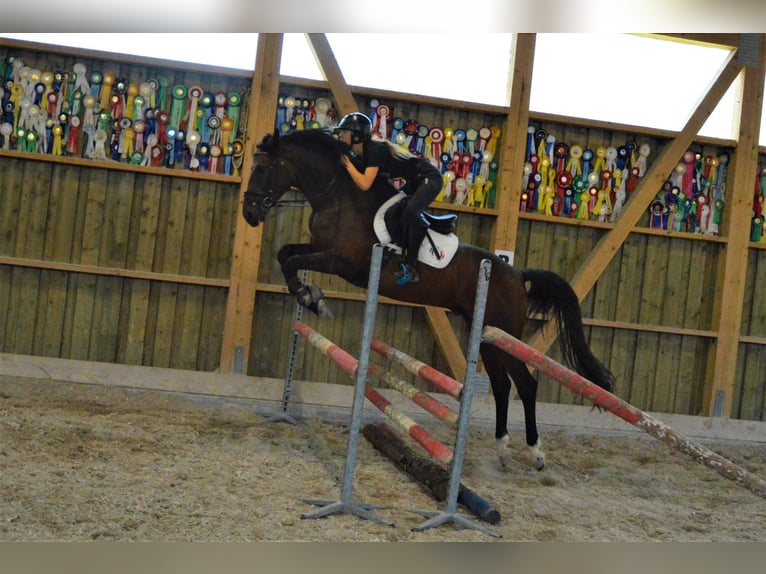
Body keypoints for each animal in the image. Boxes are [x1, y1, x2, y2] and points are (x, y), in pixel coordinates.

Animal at [243, 130, 616, 472]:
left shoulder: (343, 262)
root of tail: (517, 274)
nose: (249, 214)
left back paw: (537, 454)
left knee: (525, 384)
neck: (340, 196)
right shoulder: (320, 249)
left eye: (261, 169)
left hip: (505, 333)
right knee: (500, 385)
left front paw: (313, 300)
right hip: (485, 335)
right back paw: (502, 449)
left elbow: (291, 261)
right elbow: (286, 254)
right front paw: (309, 296)